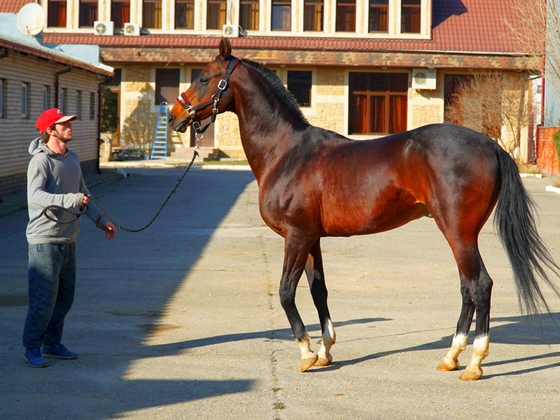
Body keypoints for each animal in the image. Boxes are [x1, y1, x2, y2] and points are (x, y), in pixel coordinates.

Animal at [168, 38, 560, 380]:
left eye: (203, 77)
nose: (174, 117)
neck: (287, 152)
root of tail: (491, 146)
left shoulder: (296, 236)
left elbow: (285, 292)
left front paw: (306, 354)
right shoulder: (312, 239)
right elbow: (318, 290)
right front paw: (325, 350)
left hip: (458, 232)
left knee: (479, 285)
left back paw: (475, 363)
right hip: (459, 235)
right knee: (467, 288)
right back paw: (451, 357)